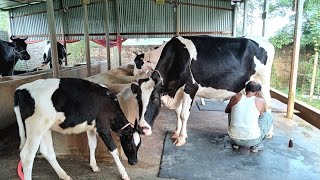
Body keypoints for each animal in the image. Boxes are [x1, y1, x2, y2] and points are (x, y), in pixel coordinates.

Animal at [13, 78, 141, 180]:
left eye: (138, 145)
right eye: (129, 144)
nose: (135, 162)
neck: (110, 102)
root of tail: (20, 89)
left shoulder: (91, 127)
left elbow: (92, 145)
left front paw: (94, 166)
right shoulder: (102, 126)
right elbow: (113, 149)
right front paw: (124, 174)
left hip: (45, 128)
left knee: (47, 151)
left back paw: (64, 175)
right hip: (36, 128)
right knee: (27, 156)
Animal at [135, 35, 276, 146]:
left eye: (155, 98)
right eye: (138, 100)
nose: (142, 129)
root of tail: (264, 40)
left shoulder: (191, 87)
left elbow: (184, 114)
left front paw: (181, 138)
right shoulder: (177, 90)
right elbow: (177, 112)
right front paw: (176, 132)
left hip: (263, 80)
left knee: (268, 104)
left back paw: (270, 133)